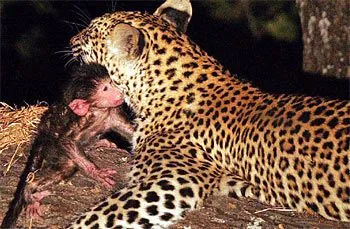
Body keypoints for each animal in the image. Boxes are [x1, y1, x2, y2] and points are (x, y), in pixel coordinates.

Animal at [1, 63, 134, 229]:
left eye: (111, 82)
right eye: (105, 88)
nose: (120, 91)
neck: (98, 111)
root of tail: (42, 133)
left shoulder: (113, 113)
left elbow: (132, 131)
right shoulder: (80, 120)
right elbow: (66, 140)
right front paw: (96, 172)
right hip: (53, 150)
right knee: (67, 165)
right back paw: (30, 191)